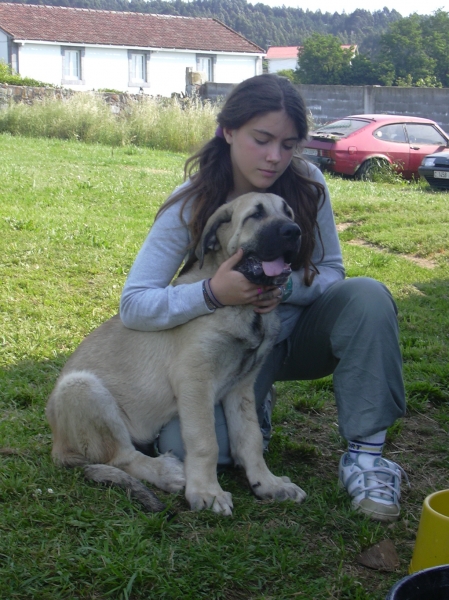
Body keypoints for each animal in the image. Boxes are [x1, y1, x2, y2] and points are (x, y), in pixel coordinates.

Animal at [47, 192, 306, 516]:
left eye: (289, 213)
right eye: (255, 215)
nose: (294, 232)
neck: (245, 310)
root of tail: (57, 445)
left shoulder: (242, 386)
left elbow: (250, 438)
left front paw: (267, 483)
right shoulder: (195, 379)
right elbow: (205, 440)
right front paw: (207, 492)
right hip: (81, 388)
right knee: (121, 457)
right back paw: (167, 472)